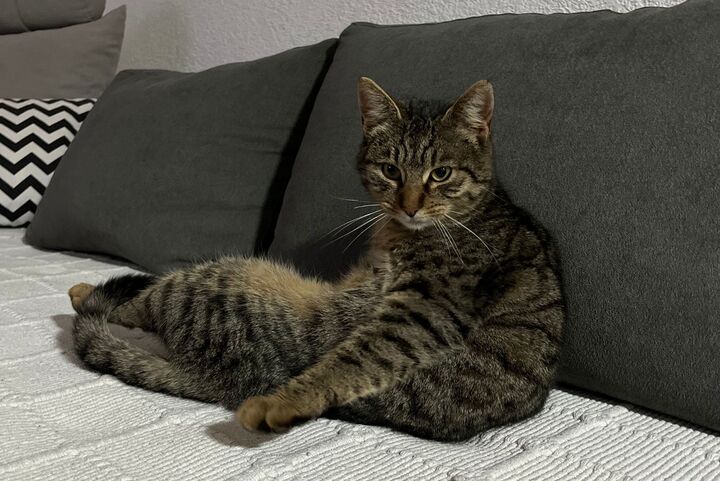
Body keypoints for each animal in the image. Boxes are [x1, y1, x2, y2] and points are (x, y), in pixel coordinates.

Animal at [69, 77, 564, 440]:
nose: (408, 206)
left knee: (136, 305)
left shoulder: (425, 310)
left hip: (224, 273)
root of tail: (216, 378)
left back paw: (88, 294)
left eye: (440, 173)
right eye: (390, 170)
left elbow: (348, 364)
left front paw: (281, 404)